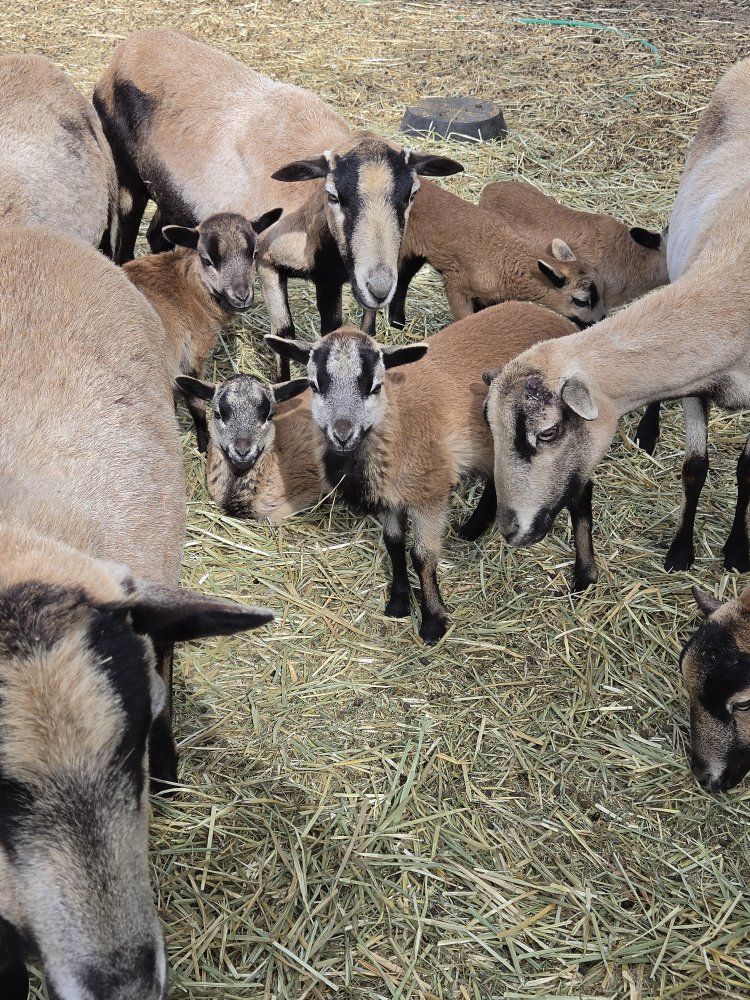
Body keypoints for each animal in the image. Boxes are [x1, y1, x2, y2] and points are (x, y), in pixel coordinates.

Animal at [93, 28, 463, 378]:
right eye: (334, 196)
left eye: (411, 195)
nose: (380, 287)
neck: (308, 210)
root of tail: (132, 44)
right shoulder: (266, 262)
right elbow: (283, 334)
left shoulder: (331, 278)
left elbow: (335, 330)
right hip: (127, 179)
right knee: (126, 242)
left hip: (171, 194)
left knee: (158, 234)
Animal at [124, 209, 282, 451]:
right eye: (207, 260)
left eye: (254, 253)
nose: (242, 297)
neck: (189, 286)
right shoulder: (192, 357)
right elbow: (196, 403)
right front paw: (204, 443)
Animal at [266, 302, 595, 644]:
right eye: (315, 385)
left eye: (375, 386)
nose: (342, 434)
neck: (396, 422)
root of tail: (556, 318)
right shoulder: (390, 497)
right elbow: (393, 543)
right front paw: (399, 601)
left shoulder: (430, 493)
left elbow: (422, 555)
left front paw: (433, 621)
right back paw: (473, 528)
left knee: (580, 491)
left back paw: (585, 576)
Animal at [385, 179, 605, 332]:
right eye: (581, 301)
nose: (600, 321)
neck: (504, 257)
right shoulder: (456, 284)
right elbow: (465, 318)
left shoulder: (489, 298)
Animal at [482, 57, 750, 575]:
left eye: (548, 432)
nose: (508, 530)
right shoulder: (697, 381)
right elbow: (695, 468)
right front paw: (681, 552)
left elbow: (746, 471)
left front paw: (735, 552)